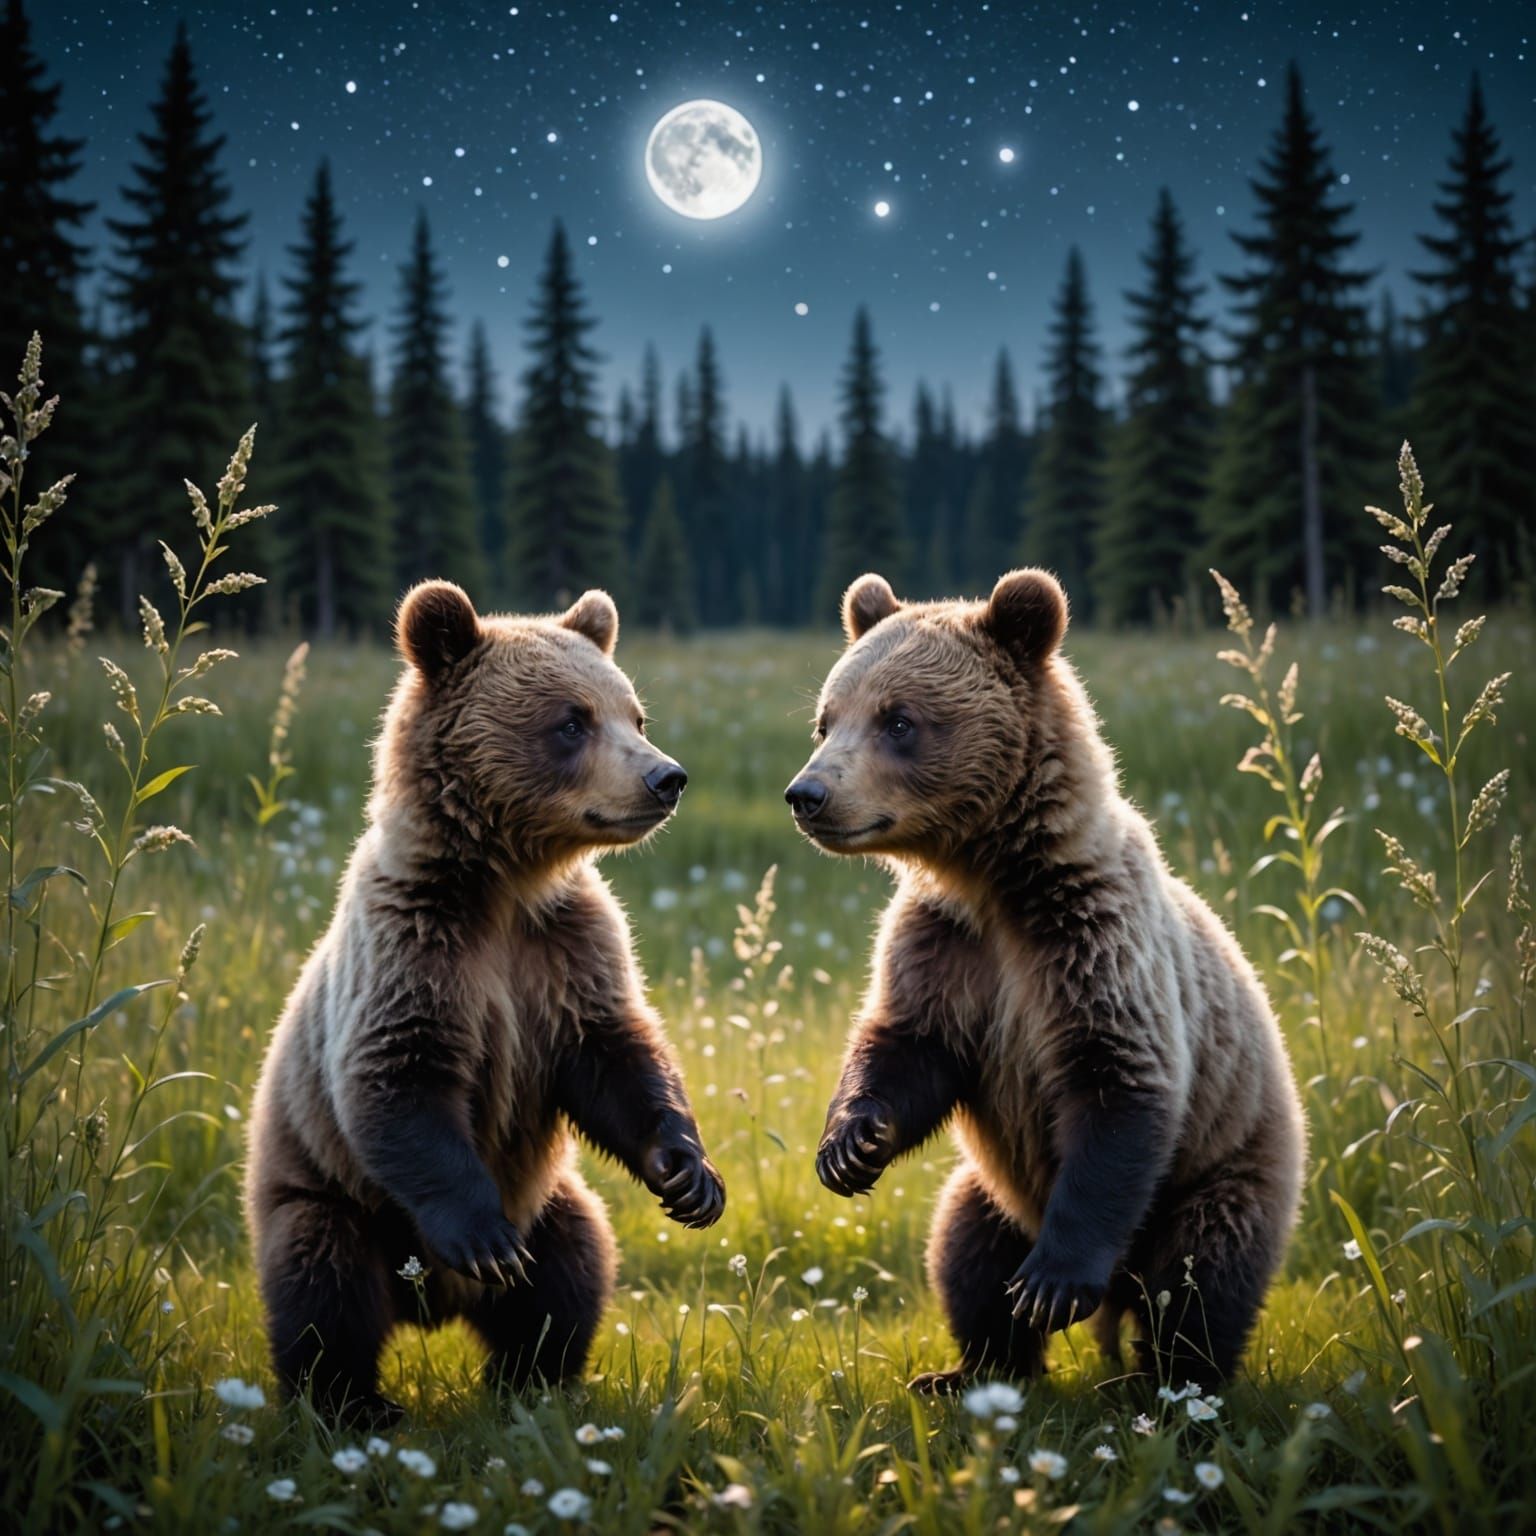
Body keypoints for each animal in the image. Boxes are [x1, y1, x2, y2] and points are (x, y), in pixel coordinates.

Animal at [245, 580, 724, 1423]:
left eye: (634, 715)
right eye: (572, 721)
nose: (665, 777)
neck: (504, 883)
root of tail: (431, 1304)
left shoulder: (566, 951)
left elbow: (619, 1056)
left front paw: (688, 1174)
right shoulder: (416, 945)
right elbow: (396, 1077)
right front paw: (484, 1237)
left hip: (553, 1197)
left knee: (572, 1270)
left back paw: (533, 1381)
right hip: (328, 1196)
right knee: (324, 1285)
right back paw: (353, 1402)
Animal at [787, 568, 1305, 1393]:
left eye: (899, 720)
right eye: (826, 720)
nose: (808, 794)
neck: (993, 880)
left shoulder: (1090, 941)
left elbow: (1119, 1087)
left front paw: (1053, 1284)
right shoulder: (947, 950)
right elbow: (908, 1045)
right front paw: (850, 1145)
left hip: (1226, 1172)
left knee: (1198, 1283)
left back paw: (1168, 1385)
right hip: (992, 1191)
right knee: (963, 1255)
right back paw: (966, 1372)